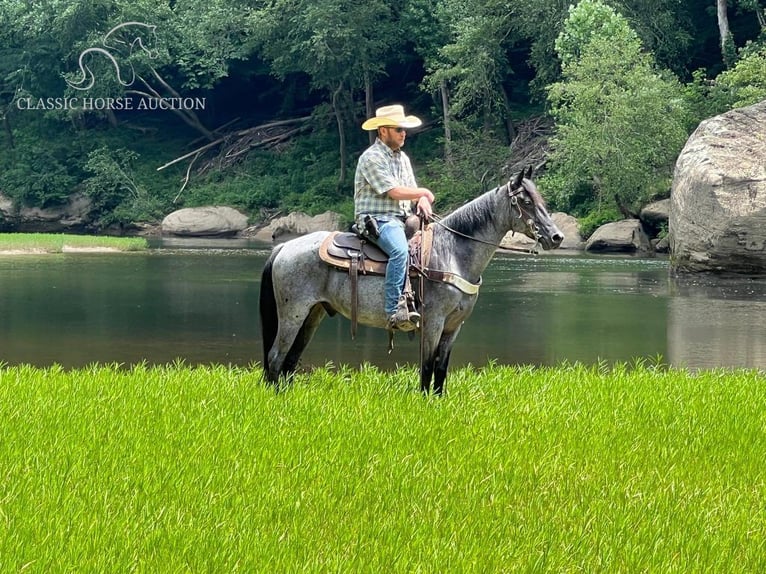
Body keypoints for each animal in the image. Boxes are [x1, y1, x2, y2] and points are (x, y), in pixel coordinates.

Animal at [260, 168, 564, 396]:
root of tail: (284, 247)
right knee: (276, 357)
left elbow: (441, 369)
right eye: (525, 202)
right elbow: (427, 366)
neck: (452, 252)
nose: (556, 237)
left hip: (313, 313)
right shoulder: (433, 322)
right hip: (293, 313)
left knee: (290, 359)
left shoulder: (454, 326)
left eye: (540, 198)